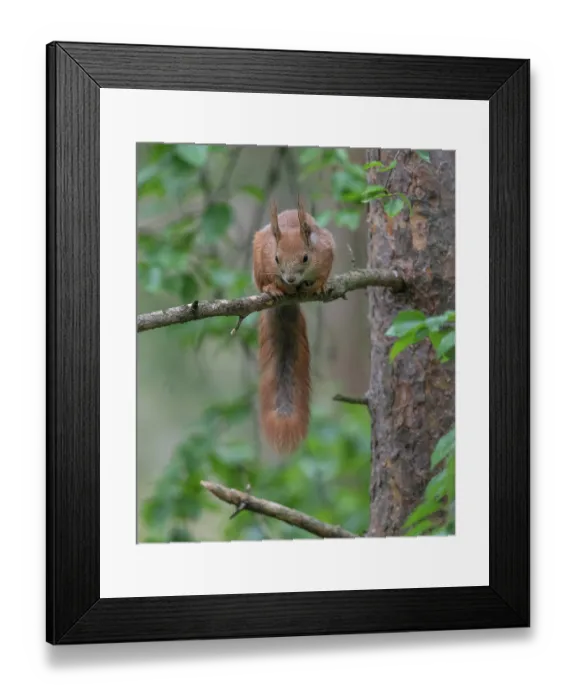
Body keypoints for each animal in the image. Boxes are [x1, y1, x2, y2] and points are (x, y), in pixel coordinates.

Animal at [252, 198, 335, 454]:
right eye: (277, 258)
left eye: (306, 258)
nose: (289, 279)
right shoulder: (265, 256)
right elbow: (270, 277)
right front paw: (277, 285)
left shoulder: (328, 249)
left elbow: (323, 273)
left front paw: (319, 284)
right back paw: (274, 290)